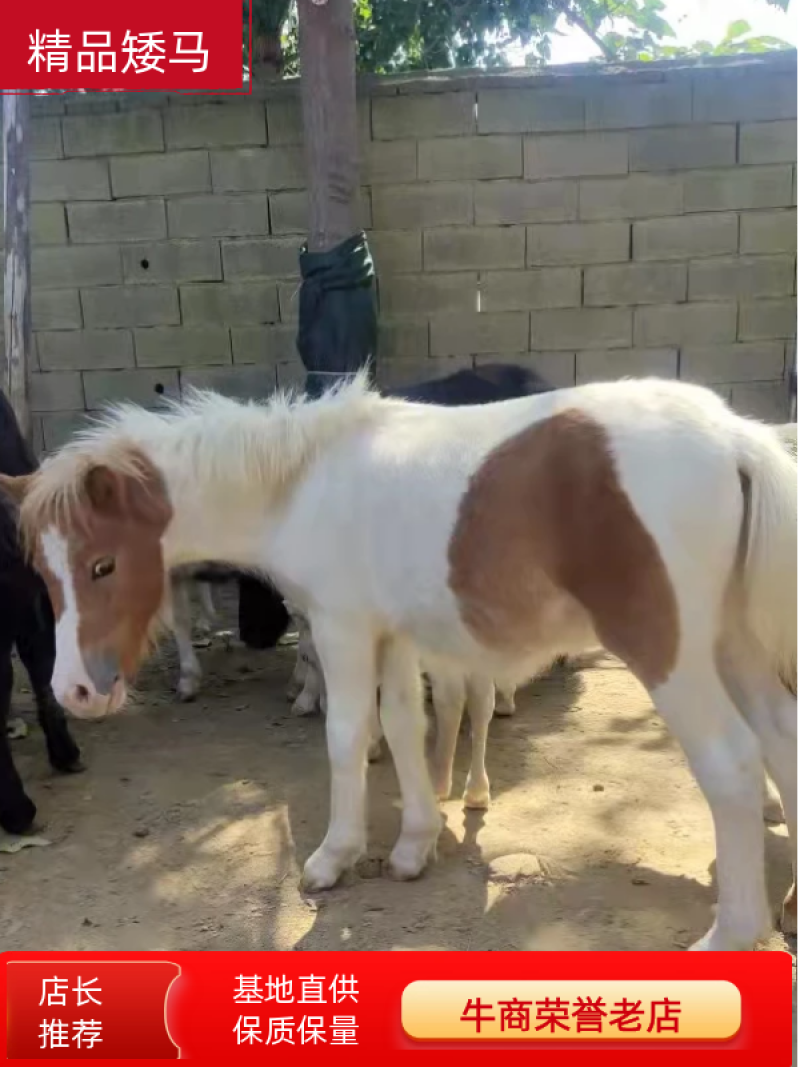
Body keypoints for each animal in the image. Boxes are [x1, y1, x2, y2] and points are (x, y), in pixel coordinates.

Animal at [2, 374, 796, 952]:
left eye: (103, 564)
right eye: (39, 569)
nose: (76, 691)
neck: (302, 486)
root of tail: (735, 437)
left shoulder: (344, 628)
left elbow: (349, 736)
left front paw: (334, 857)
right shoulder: (394, 635)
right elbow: (407, 726)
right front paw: (415, 845)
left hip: (671, 653)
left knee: (732, 763)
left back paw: (732, 934)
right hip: (734, 645)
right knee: (782, 739)